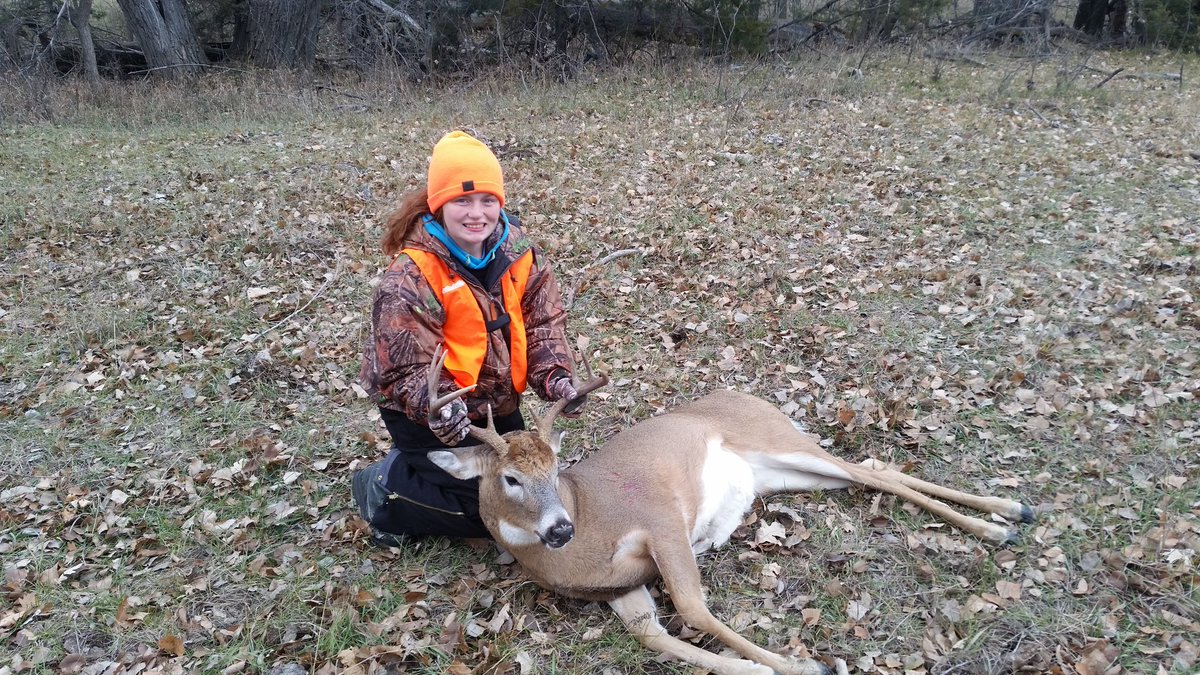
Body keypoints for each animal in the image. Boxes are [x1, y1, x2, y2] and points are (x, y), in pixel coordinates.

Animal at [422, 346, 1034, 675]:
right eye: (511, 478)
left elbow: (694, 611)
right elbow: (657, 638)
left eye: (556, 468)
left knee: (870, 472)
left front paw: (806, 663)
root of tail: (748, 394)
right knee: (876, 469)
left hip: (780, 441)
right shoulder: (621, 588)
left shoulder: (662, 519)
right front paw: (758, 665)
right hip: (783, 474)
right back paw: (1007, 515)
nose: (559, 528)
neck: (586, 539)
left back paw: (1002, 518)